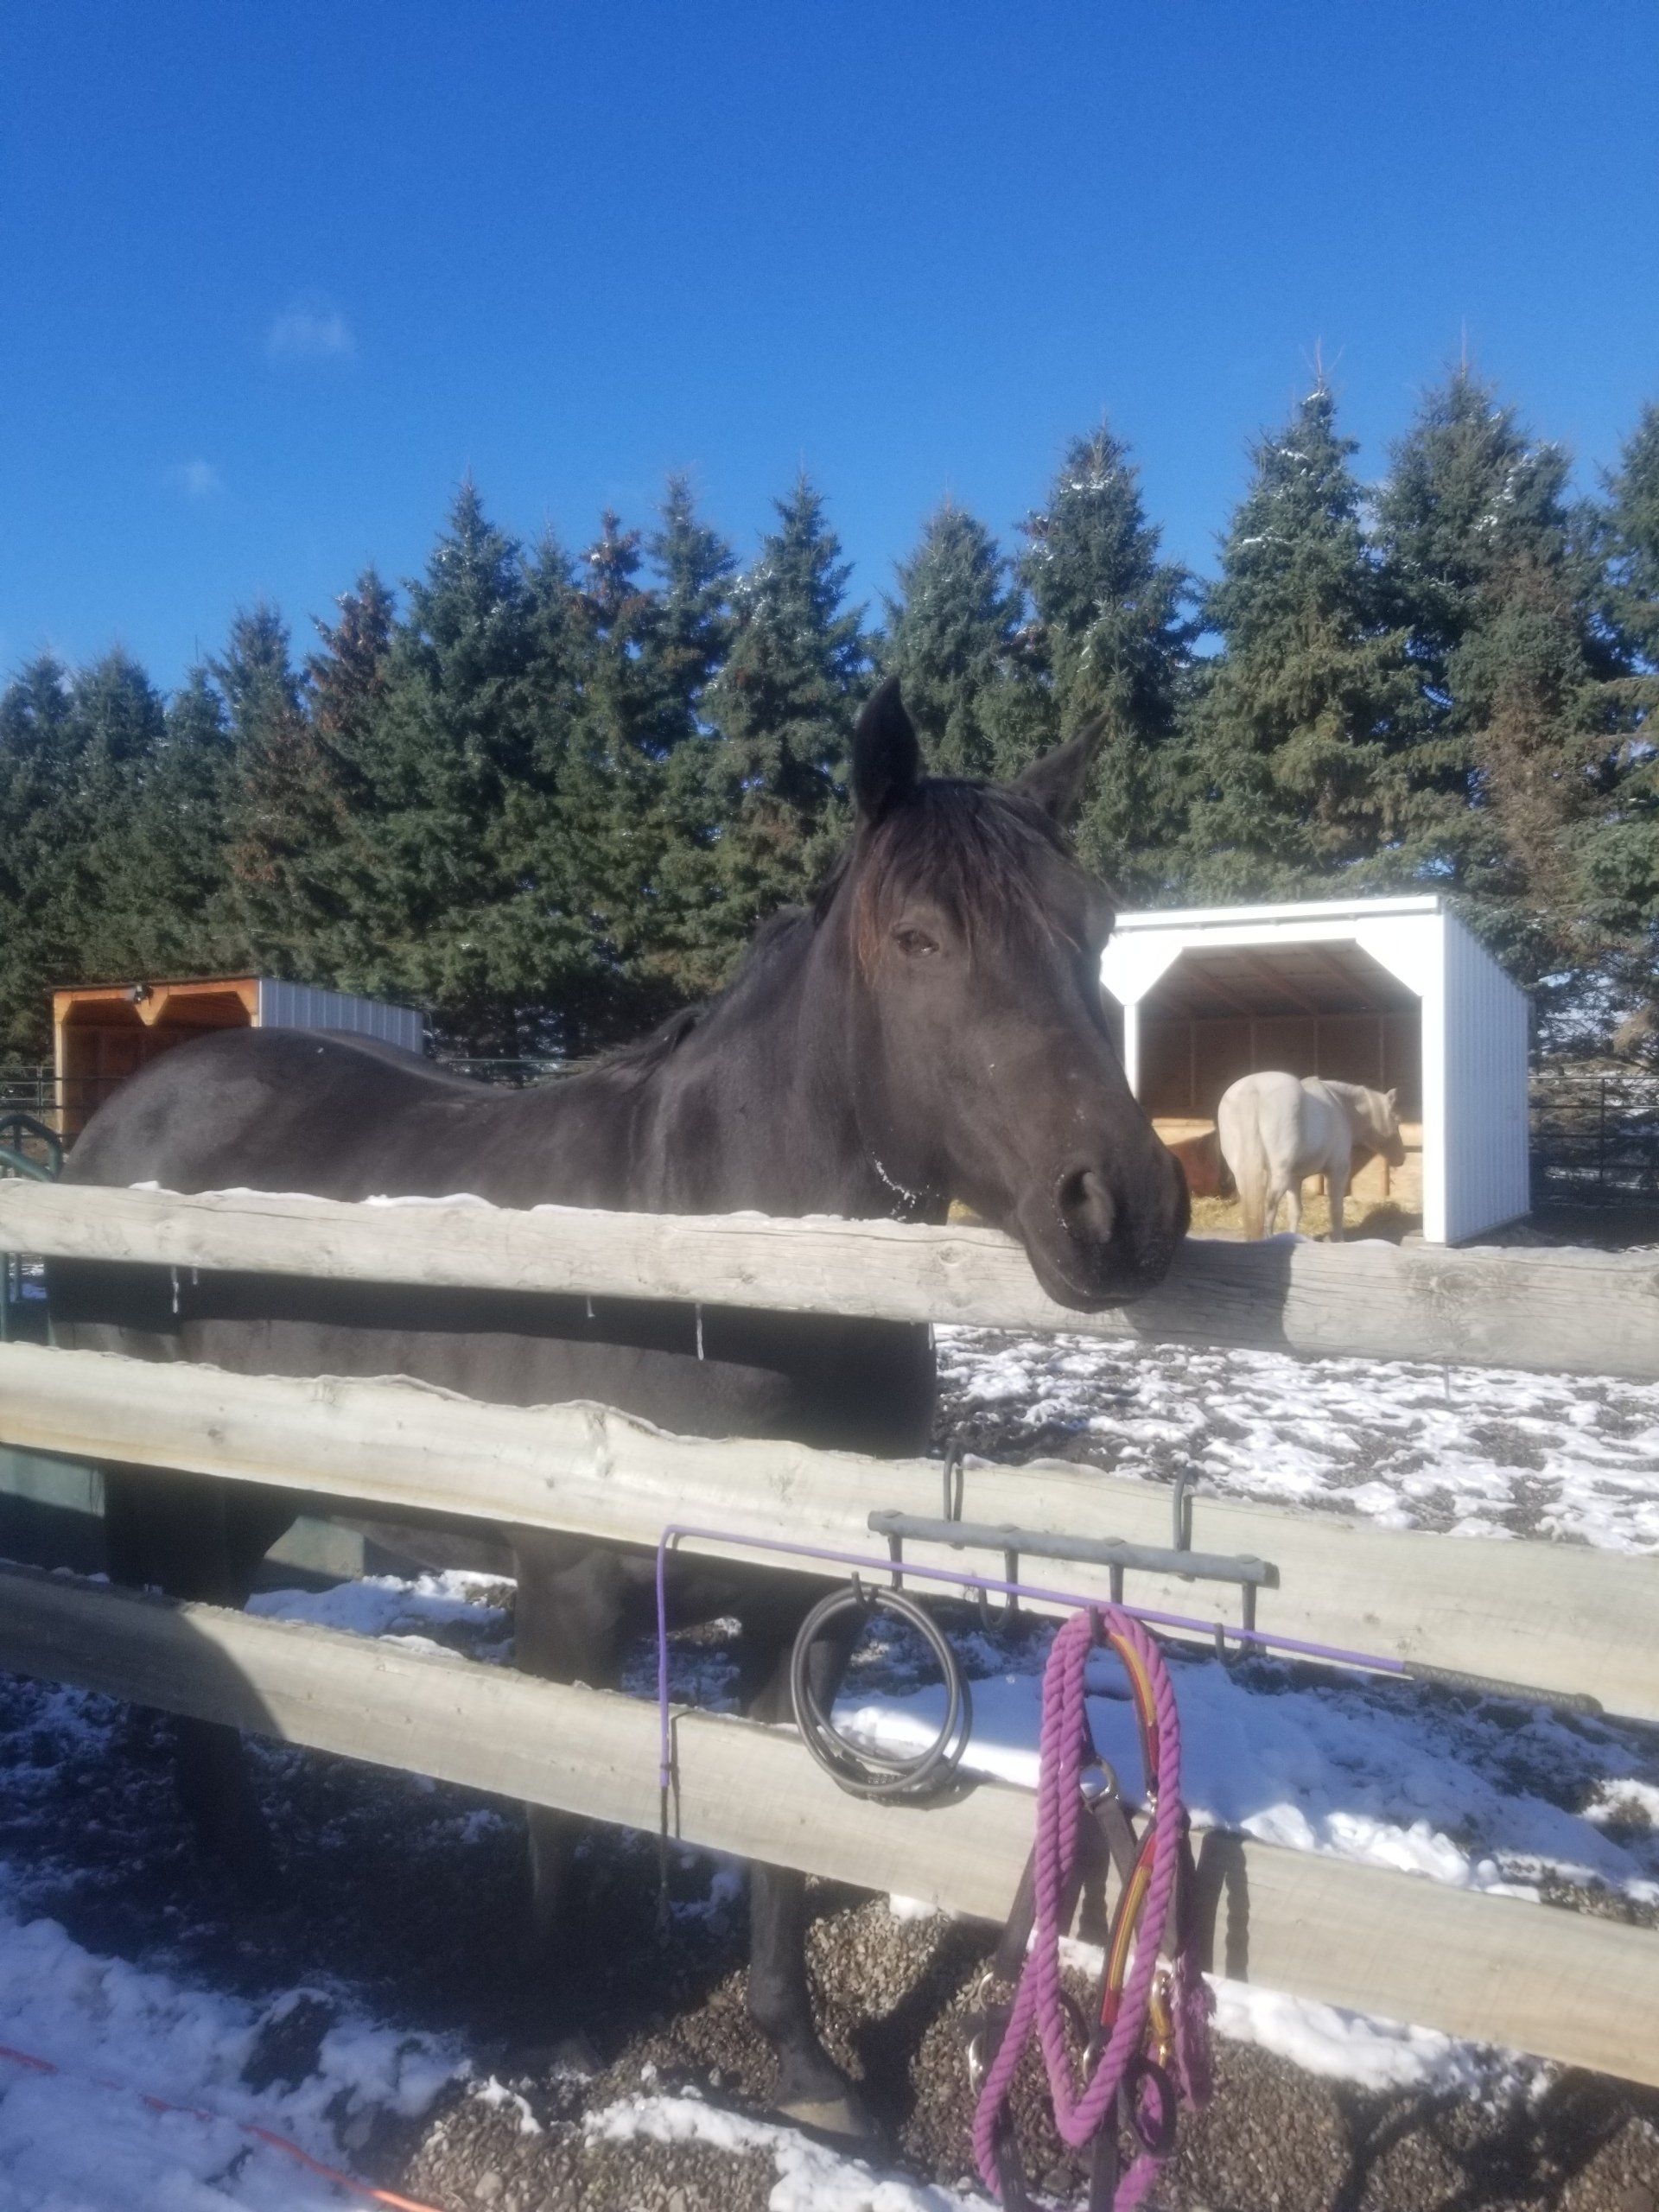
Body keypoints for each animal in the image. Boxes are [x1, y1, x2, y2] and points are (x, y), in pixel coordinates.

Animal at [45, 678, 1189, 2136]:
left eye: (1093, 926)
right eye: (919, 938)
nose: (1125, 1209)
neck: (708, 1274)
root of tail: (121, 1120)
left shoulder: (795, 1617)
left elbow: (775, 1839)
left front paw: (804, 2066)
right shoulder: (569, 1603)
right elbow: (559, 1820)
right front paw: (557, 2031)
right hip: (175, 1476)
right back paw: (245, 1878)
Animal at [1216, 1070, 1405, 1240]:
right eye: (1397, 1120)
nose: (1401, 1158)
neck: (1340, 1105)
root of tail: (1252, 1089)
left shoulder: (1295, 1179)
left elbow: (1295, 1212)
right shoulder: (1338, 1171)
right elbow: (1336, 1210)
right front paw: (1339, 1240)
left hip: (1245, 1175)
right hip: (1279, 1176)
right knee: (1269, 1208)